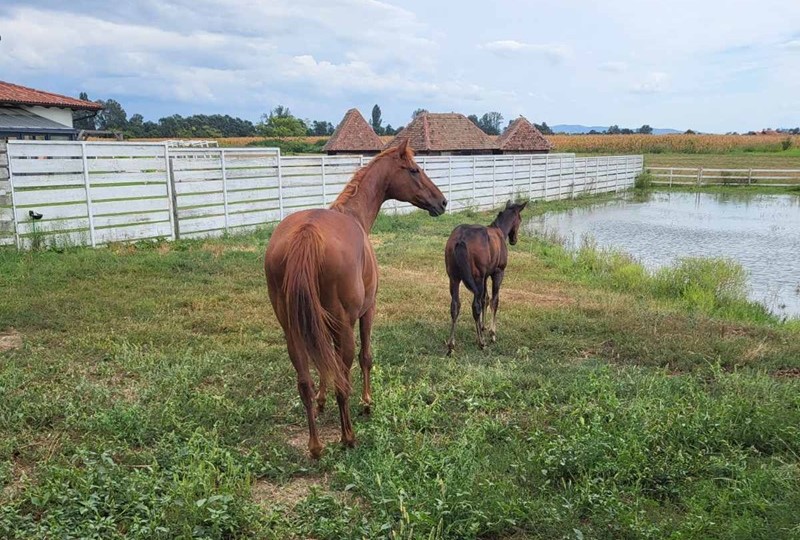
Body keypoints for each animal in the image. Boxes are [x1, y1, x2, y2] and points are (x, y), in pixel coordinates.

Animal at [266, 141, 446, 458]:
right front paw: (367, 402)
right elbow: (366, 358)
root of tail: (306, 234)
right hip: (345, 326)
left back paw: (315, 446)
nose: (443, 202)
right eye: (414, 170)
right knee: (343, 378)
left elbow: (323, 364)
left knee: (305, 381)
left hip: (292, 330)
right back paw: (348, 436)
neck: (354, 215)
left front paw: (322, 401)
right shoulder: (367, 312)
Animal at [446, 200, 528, 356]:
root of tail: (460, 240)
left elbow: (486, 298)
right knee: (475, 306)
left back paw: (451, 345)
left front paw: (482, 327)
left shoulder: (485, 276)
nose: (514, 240)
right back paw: (481, 342)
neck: (500, 232)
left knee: (455, 306)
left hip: (453, 278)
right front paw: (492, 333)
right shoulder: (497, 272)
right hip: (476, 278)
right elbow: (494, 301)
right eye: (520, 219)